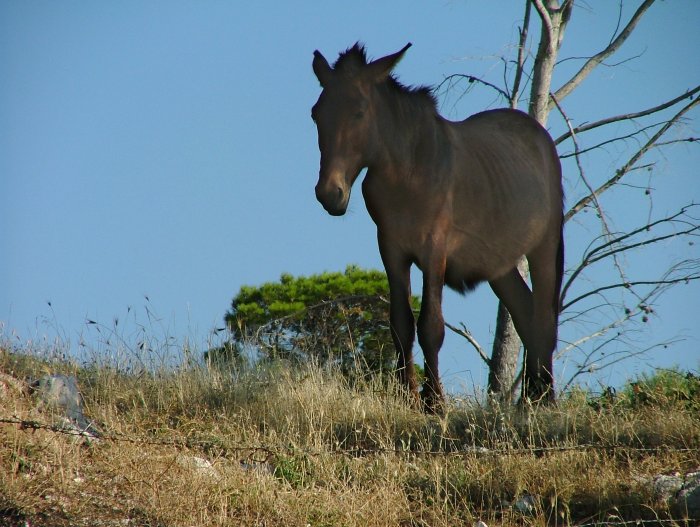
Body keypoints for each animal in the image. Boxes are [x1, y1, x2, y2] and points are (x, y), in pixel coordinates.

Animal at [311, 43, 563, 410]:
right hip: (500, 265)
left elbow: (431, 325)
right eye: (316, 113)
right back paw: (529, 397)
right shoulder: (392, 249)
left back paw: (545, 397)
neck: (406, 174)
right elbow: (400, 323)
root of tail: (542, 139)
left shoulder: (435, 249)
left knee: (544, 314)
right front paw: (407, 396)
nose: (330, 193)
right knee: (525, 313)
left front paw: (435, 401)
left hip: (545, 245)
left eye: (359, 112)